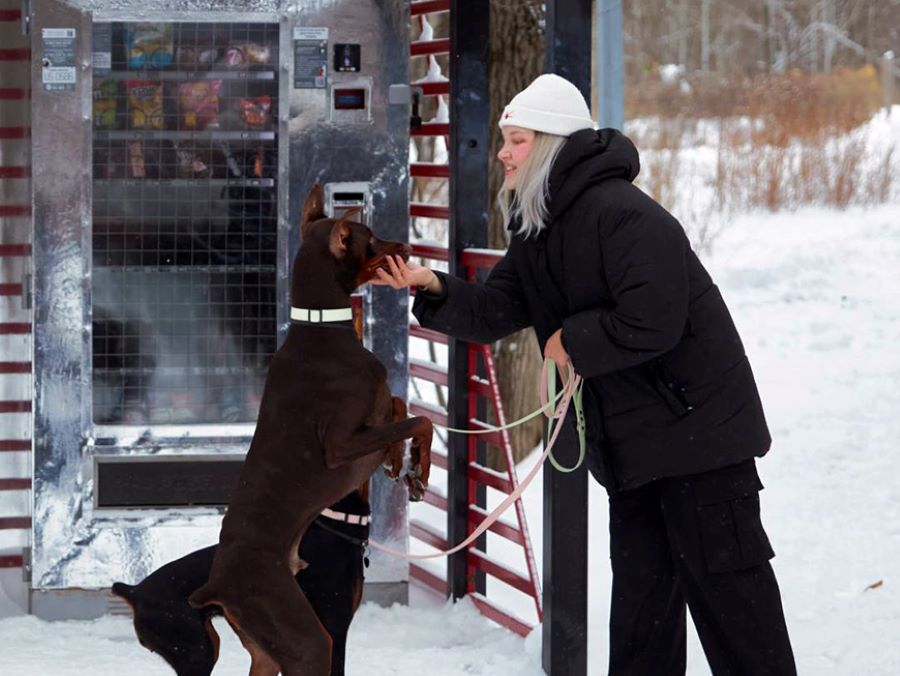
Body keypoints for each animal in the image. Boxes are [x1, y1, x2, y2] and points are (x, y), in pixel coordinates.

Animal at [187, 185, 432, 676]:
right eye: (372, 239)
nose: (407, 246)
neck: (321, 325)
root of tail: (216, 586)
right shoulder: (339, 446)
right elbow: (420, 418)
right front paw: (419, 465)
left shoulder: (374, 412)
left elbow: (397, 405)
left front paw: (401, 460)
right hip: (307, 640)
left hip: (267, 649)